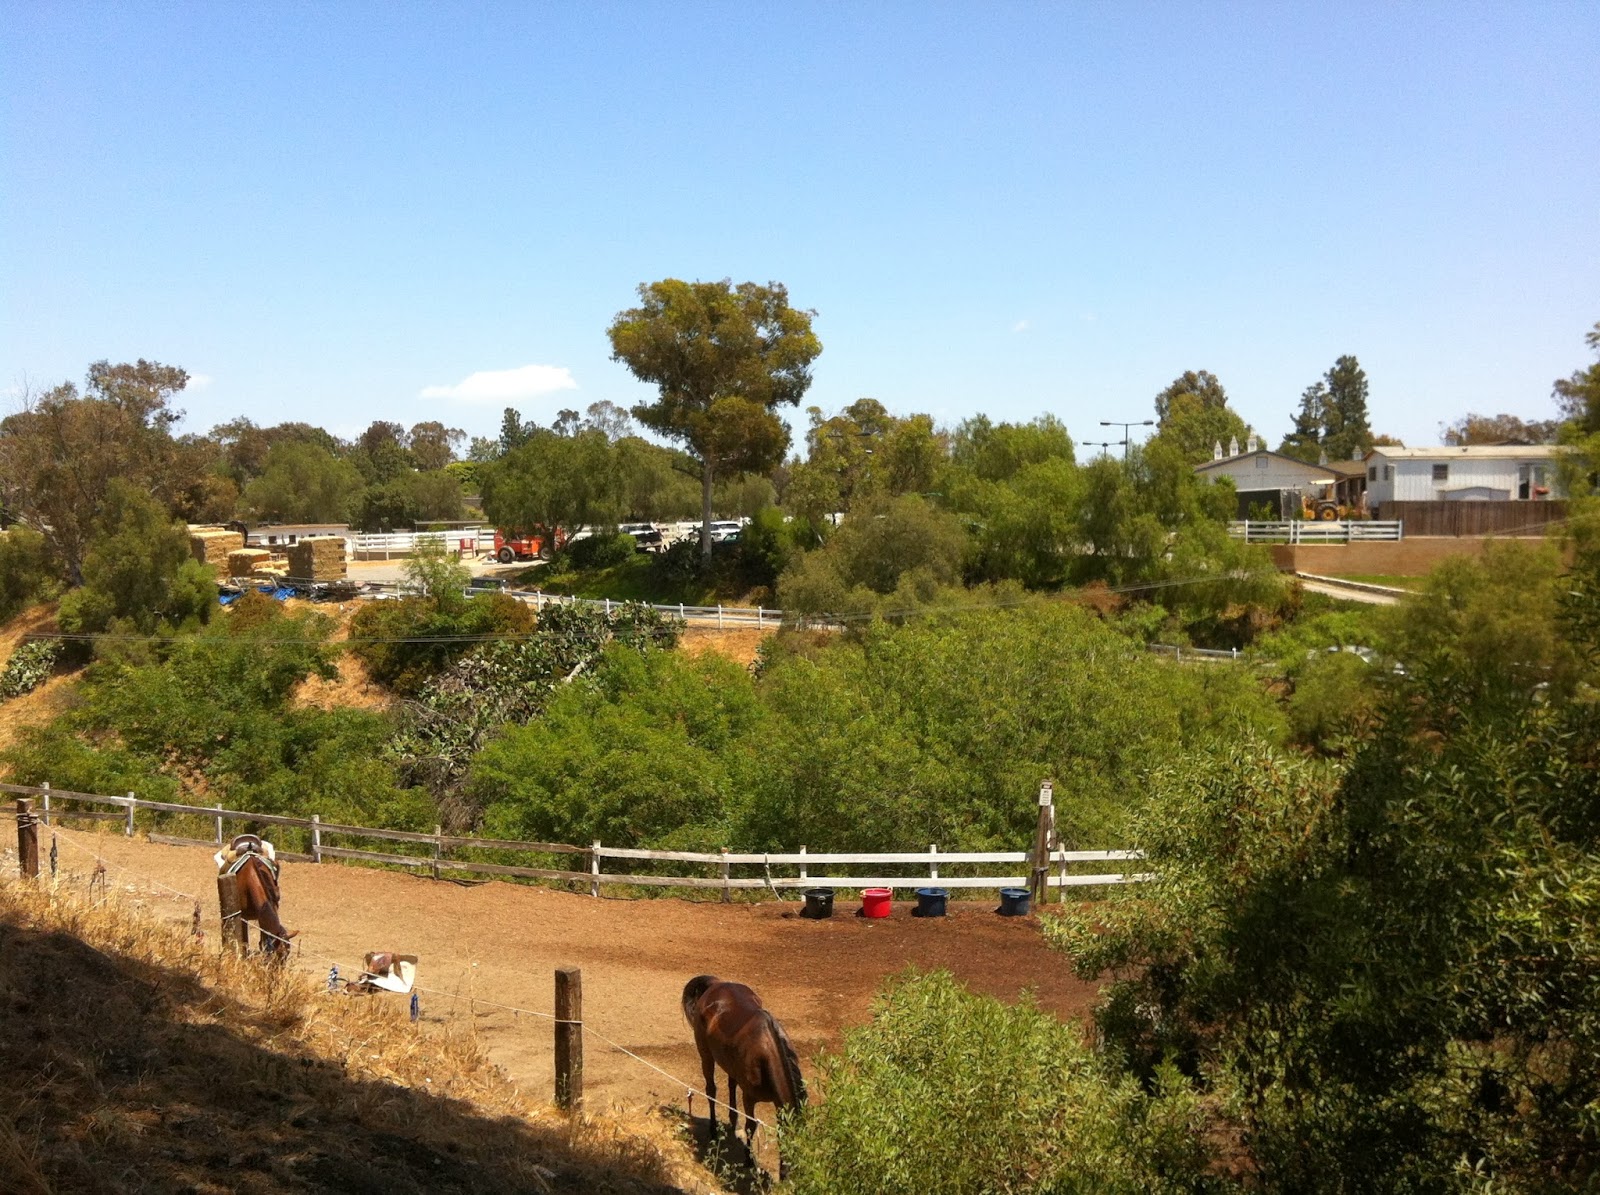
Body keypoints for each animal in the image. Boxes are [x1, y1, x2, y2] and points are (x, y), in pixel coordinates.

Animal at [681, 975, 806, 1172]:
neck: (767, 1053)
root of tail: (715, 984)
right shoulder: (749, 1097)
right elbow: (751, 1125)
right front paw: (749, 1160)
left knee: (731, 1085)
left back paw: (734, 1122)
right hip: (706, 1055)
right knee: (711, 1090)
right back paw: (713, 1130)